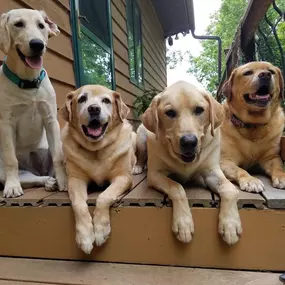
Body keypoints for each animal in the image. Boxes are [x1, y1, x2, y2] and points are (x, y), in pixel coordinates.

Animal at [0, 8, 66, 195]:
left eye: (41, 26)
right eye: (18, 24)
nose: (37, 44)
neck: (29, 83)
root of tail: (39, 169)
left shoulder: (51, 119)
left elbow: (58, 157)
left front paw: (64, 182)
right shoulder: (6, 123)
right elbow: (11, 160)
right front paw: (12, 187)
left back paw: (55, 181)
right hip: (5, 171)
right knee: (32, 178)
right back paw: (46, 182)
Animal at [58, 85, 135, 253]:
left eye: (106, 100)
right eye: (82, 99)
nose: (94, 108)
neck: (96, 150)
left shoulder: (123, 177)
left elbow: (104, 196)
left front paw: (100, 230)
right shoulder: (75, 180)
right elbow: (79, 204)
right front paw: (85, 236)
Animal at [134, 80, 241, 244]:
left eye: (199, 110)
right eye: (170, 113)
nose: (189, 142)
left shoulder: (212, 172)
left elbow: (230, 189)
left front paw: (230, 224)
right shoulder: (154, 175)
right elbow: (177, 187)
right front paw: (183, 223)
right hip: (140, 138)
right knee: (141, 155)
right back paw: (138, 167)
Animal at [220, 61, 284, 192]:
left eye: (271, 71)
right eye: (248, 73)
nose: (265, 74)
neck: (254, 125)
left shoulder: (272, 157)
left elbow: (279, 167)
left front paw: (281, 176)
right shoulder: (225, 159)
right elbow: (240, 170)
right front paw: (251, 180)